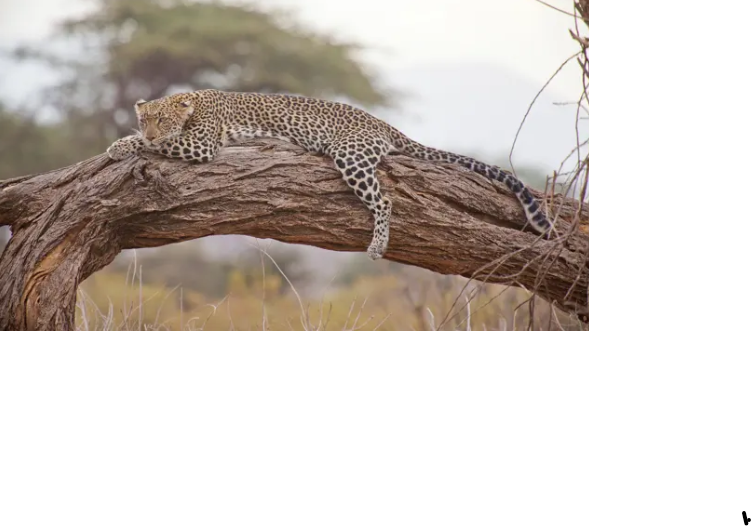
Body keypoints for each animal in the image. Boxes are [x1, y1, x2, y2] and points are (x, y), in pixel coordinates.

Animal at [107, 89, 553, 260]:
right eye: (147, 118)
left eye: (162, 121)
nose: (149, 129)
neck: (192, 103)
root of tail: (383, 124)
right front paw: (122, 141)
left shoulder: (202, 144)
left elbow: (155, 146)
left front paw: (122, 145)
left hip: (350, 155)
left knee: (384, 199)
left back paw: (377, 246)